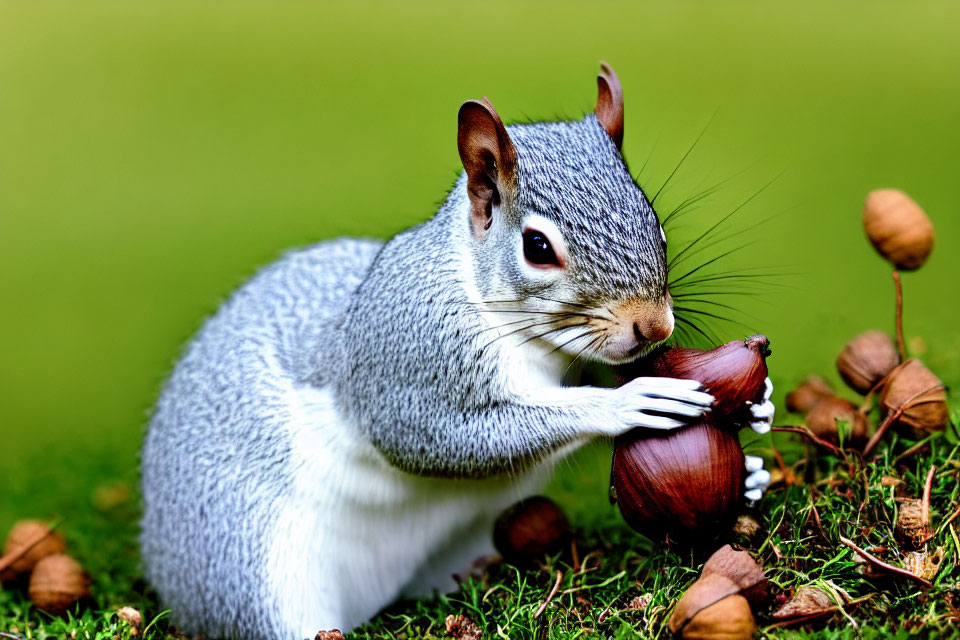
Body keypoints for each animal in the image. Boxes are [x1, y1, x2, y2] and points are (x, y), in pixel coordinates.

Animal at [139, 63, 776, 640]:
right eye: (537, 247)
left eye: (657, 224)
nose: (653, 325)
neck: (504, 321)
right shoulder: (406, 353)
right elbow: (432, 436)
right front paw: (625, 403)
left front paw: (754, 430)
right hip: (255, 566)